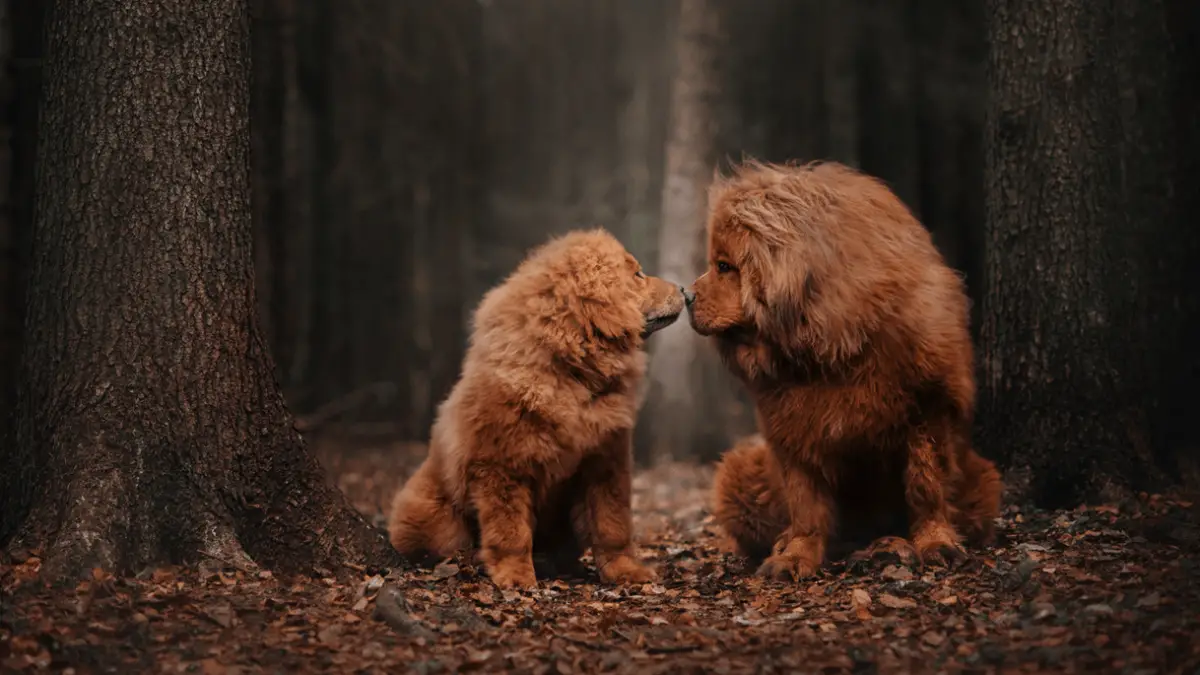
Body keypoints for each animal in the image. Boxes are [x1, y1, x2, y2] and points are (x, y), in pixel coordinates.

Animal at [384, 228, 686, 586]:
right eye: (638, 274)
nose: (686, 290)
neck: (573, 374)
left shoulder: (606, 461)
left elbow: (612, 525)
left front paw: (626, 571)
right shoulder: (502, 466)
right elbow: (511, 532)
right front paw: (516, 578)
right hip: (432, 511)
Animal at [691, 158, 998, 578]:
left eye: (724, 266)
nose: (686, 296)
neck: (830, 348)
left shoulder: (928, 410)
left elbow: (925, 486)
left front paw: (936, 543)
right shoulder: (794, 430)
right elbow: (806, 503)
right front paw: (794, 556)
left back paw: (888, 548)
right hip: (738, 472)